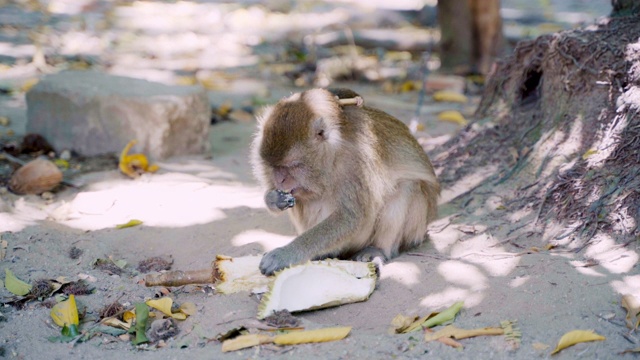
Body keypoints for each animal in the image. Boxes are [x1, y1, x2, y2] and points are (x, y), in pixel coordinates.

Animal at [250, 88, 440, 274]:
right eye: (273, 166)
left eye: (293, 166)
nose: (279, 180)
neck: (333, 154)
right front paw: (274, 198)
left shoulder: (355, 161)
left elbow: (351, 217)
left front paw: (286, 253)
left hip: (413, 231)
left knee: (406, 187)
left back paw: (378, 250)